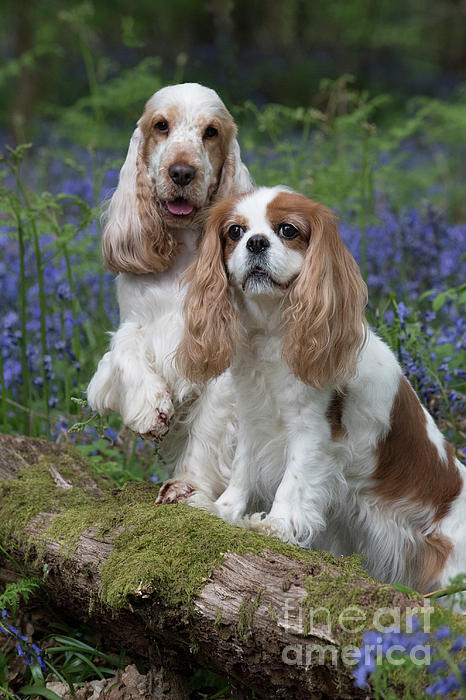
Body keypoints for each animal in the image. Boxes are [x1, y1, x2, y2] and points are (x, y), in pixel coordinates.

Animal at [85, 83, 253, 504]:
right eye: (161, 125)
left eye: (211, 132)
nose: (181, 172)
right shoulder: (135, 321)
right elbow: (125, 352)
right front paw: (151, 409)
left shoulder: (223, 352)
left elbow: (208, 429)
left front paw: (186, 487)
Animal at [178, 187, 466, 596]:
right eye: (235, 231)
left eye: (288, 230)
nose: (256, 242)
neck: (273, 331)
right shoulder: (252, 419)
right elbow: (242, 469)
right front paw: (224, 509)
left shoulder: (312, 431)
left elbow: (293, 480)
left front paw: (276, 524)